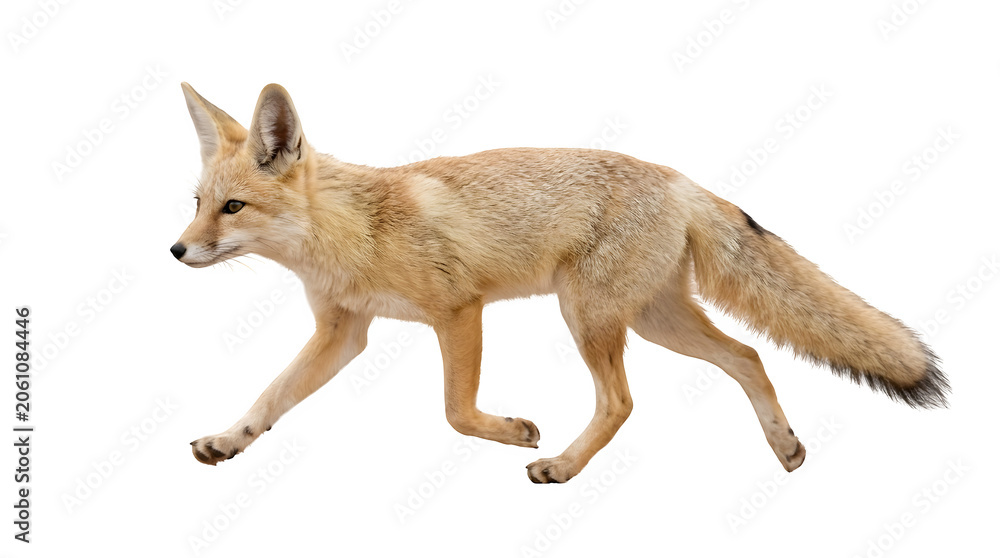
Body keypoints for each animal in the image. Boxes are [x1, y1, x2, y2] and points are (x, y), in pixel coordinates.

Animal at [172, 82, 948, 484]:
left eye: (233, 208)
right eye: (198, 202)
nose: (176, 251)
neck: (354, 232)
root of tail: (678, 178)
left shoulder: (459, 311)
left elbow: (456, 412)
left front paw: (514, 432)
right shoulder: (343, 332)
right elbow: (271, 397)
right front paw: (229, 441)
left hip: (589, 316)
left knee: (623, 401)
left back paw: (565, 466)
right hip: (654, 321)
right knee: (749, 356)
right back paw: (784, 445)